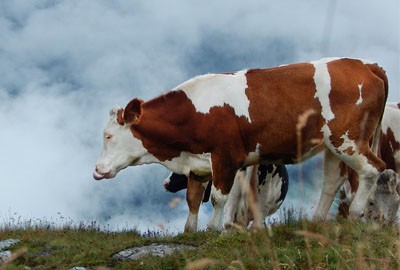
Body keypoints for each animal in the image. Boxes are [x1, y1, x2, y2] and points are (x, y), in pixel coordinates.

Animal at [93, 57, 388, 224]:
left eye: (108, 136)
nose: (97, 170)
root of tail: (364, 64)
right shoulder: (198, 166)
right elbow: (192, 200)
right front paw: (191, 234)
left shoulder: (226, 157)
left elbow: (218, 200)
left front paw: (212, 232)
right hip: (332, 144)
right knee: (332, 181)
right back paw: (317, 224)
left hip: (348, 140)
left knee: (372, 169)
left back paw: (355, 216)